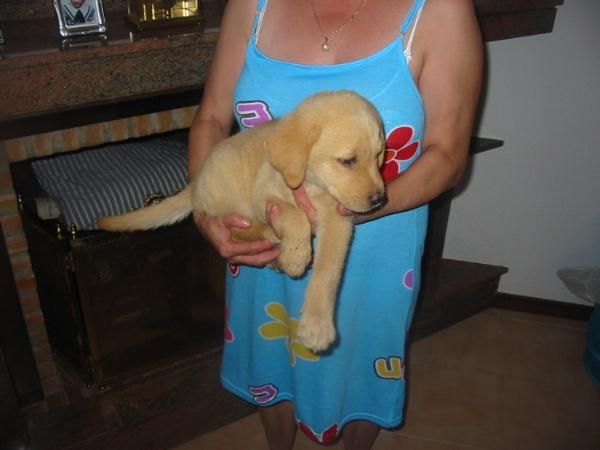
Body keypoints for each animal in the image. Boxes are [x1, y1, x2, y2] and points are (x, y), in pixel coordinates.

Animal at [98, 90, 386, 352]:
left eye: (379, 156)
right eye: (347, 161)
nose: (379, 200)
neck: (313, 185)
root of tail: (195, 186)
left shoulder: (339, 220)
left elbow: (328, 272)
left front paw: (317, 325)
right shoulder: (264, 193)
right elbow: (294, 217)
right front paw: (296, 255)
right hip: (229, 185)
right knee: (237, 228)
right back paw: (272, 239)